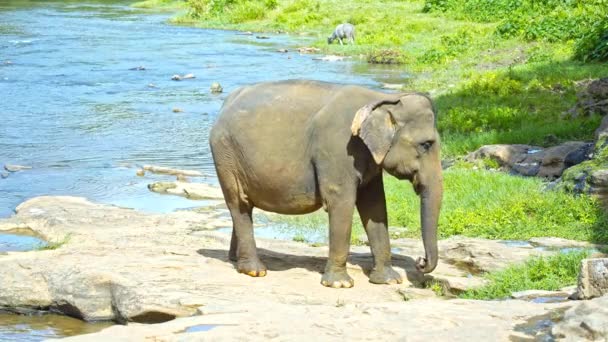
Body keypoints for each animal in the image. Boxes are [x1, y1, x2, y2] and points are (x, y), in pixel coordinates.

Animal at [209, 80, 442, 288]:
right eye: (426, 144)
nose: (421, 262)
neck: (381, 99)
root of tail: (224, 105)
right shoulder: (338, 149)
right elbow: (342, 203)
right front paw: (340, 284)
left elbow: (375, 206)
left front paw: (388, 280)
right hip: (226, 155)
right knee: (239, 203)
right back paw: (255, 271)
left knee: (243, 207)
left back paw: (235, 260)